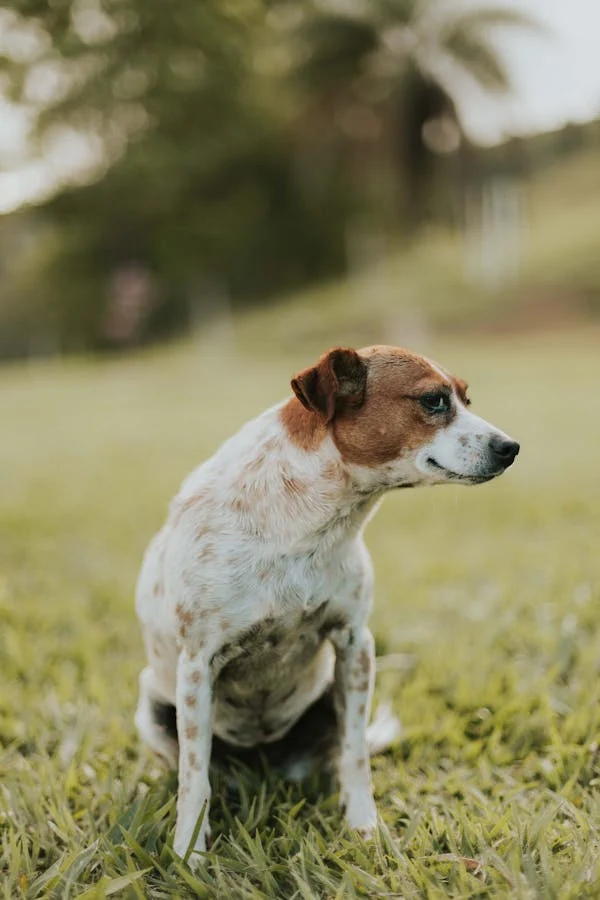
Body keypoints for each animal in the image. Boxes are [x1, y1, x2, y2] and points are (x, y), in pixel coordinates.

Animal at [134, 342, 516, 856]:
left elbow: (355, 756)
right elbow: (194, 778)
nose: (511, 447)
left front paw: (363, 824)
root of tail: (264, 766)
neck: (308, 522)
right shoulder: (197, 665)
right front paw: (188, 852)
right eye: (434, 401)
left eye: (466, 400)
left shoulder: (354, 645)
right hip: (154, 708)